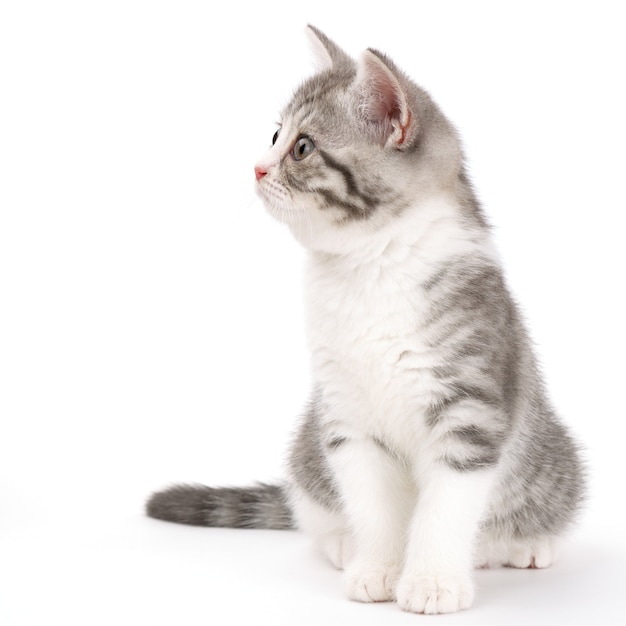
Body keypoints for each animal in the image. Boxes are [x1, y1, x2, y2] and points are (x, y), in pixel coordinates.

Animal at [145, 26, 580, 612]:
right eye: (275, 134)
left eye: (302, 147)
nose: (257, 167)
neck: (371, 266)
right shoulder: (344, 415)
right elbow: (373, 503)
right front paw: (379, 567)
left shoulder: (471, 407)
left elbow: (445, 507)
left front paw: (432, 581)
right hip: (307, 452)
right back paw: (343, 543)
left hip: (552, 456)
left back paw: (523, 543)